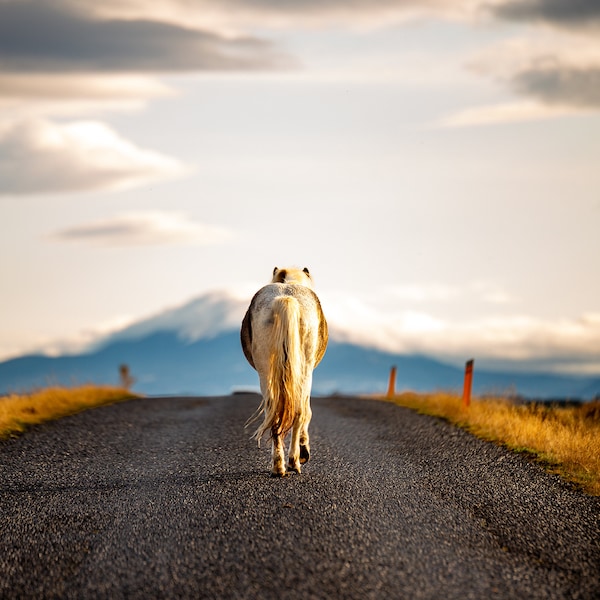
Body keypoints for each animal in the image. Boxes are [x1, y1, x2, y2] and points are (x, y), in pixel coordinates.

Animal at [239, 268, 328, 478]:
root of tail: (286, 298)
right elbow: (308, 412)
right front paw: (304, 452)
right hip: (304, 369)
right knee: (298, 411)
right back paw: (293, 461)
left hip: (266, 370)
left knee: (274, 411)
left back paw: (278, 466)